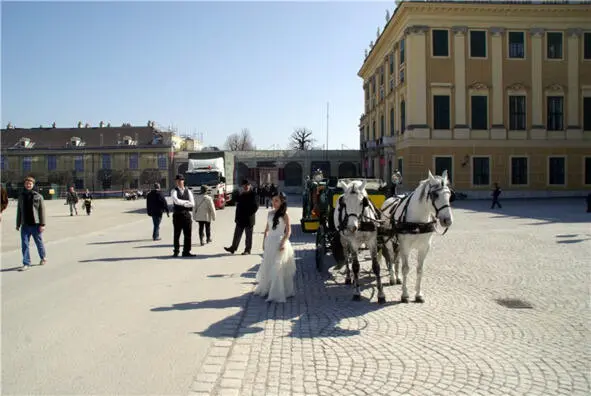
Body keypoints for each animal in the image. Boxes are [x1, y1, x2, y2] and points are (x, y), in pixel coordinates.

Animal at [380, 169, 454, 304]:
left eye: (449, 194)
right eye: (435, 195)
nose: (447, 220)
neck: (418, 222)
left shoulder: (424, 247)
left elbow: (420, 270)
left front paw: (418, 294)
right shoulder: (405, 246)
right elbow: (405, 268)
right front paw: (404, 294)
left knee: (396, 259)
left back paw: (397, 277)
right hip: (388, 241)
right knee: (391, 257)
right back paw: (392, 277)